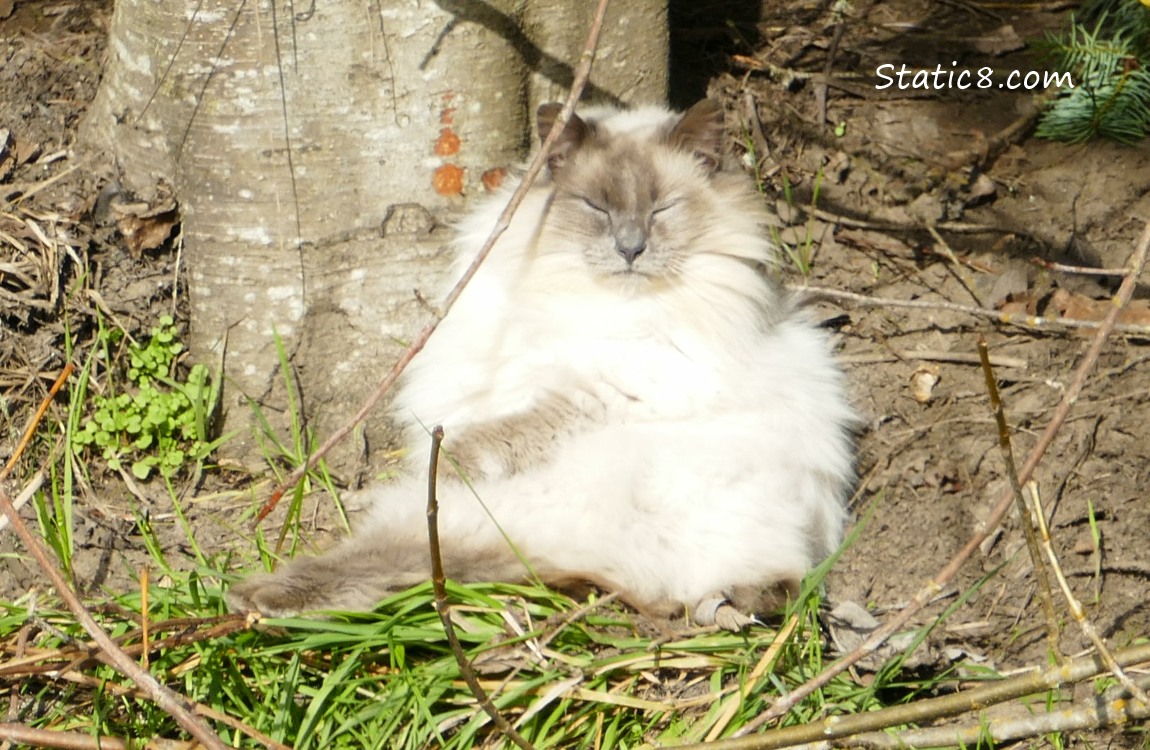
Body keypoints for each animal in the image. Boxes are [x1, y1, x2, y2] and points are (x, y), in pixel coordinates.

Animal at [226, 98, 855, 625]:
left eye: (661, 210)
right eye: (596, 207)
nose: (631, 249)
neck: (578, 294)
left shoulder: (605, 395)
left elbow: (475, 443)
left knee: (404, 549)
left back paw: (254, 596)